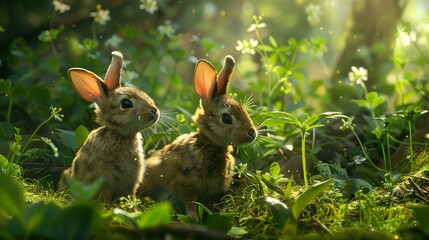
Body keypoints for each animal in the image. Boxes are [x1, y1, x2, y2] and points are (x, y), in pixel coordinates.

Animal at [139, 55, 256, 221]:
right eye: (226, 118)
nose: (252, 133)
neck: (211, 145)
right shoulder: (185, 183)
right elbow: (190, 201)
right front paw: (193, 217)